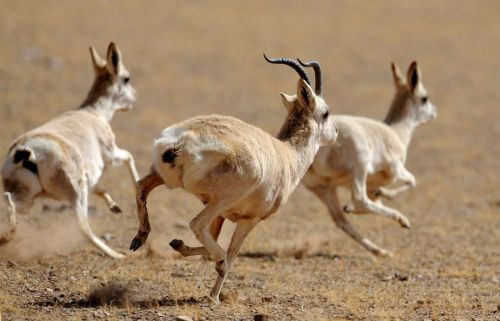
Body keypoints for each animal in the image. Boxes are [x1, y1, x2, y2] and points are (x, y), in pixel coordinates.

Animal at [1, 42, 140, 258]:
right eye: (126, 78)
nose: (134, 98)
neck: (93, 113)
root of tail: (24, 151)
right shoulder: (111, 153)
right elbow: (129, 157)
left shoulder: (91, 177)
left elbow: (100, 188)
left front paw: (115, 207)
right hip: (76, 195)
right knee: (84, 229)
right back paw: (117, 255)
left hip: (28, 197)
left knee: (10, 205)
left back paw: (6, 238)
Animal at [131, 53, 338, 302]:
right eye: (325, 113)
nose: (336, 133)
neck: (287, 154)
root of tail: (179, 142)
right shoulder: (249, 219)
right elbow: (232, 253)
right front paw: (214, 295)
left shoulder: (221, 214)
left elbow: (210, 242)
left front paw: (178, 244)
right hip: (223, 198)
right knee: (197, 225)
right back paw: (218, 264)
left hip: (169, 180)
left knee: (141, 186)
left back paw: (139, 239)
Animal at [300, 60, 438, 255]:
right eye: (425, 98)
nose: (434, 112)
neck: (396, 131)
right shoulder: (396, 169)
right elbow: (412, 181)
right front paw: (387, 197)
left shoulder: (369, 184)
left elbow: (376, 200)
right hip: (359, 167)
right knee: (359, 200)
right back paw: (400, 222)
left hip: (325, 189)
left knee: (341, 220)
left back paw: (381, 250)